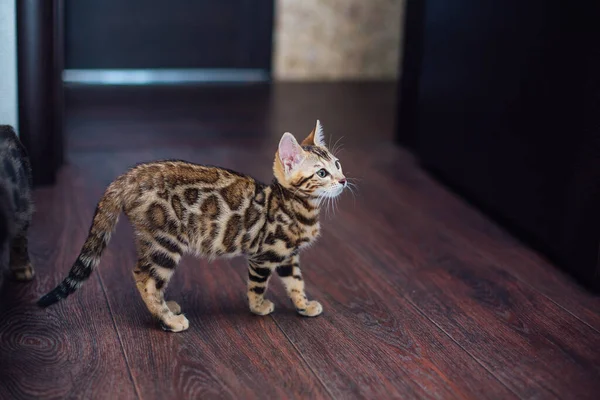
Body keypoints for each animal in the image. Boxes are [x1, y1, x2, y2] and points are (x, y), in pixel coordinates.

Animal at [38, 121, 346, 332]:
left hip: (152, 240)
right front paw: (258, 307)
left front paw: (304, 304)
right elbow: (258, 285)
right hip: (166, 241)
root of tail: (129, 176)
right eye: (322, 172)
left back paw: (167, 307)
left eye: (338, 164)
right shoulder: (264, 255)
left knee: (145, 272)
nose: (343, 181)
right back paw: (169, 320)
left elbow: (296, 282)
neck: (298, 207)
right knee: (144, 277)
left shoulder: (287, 256)